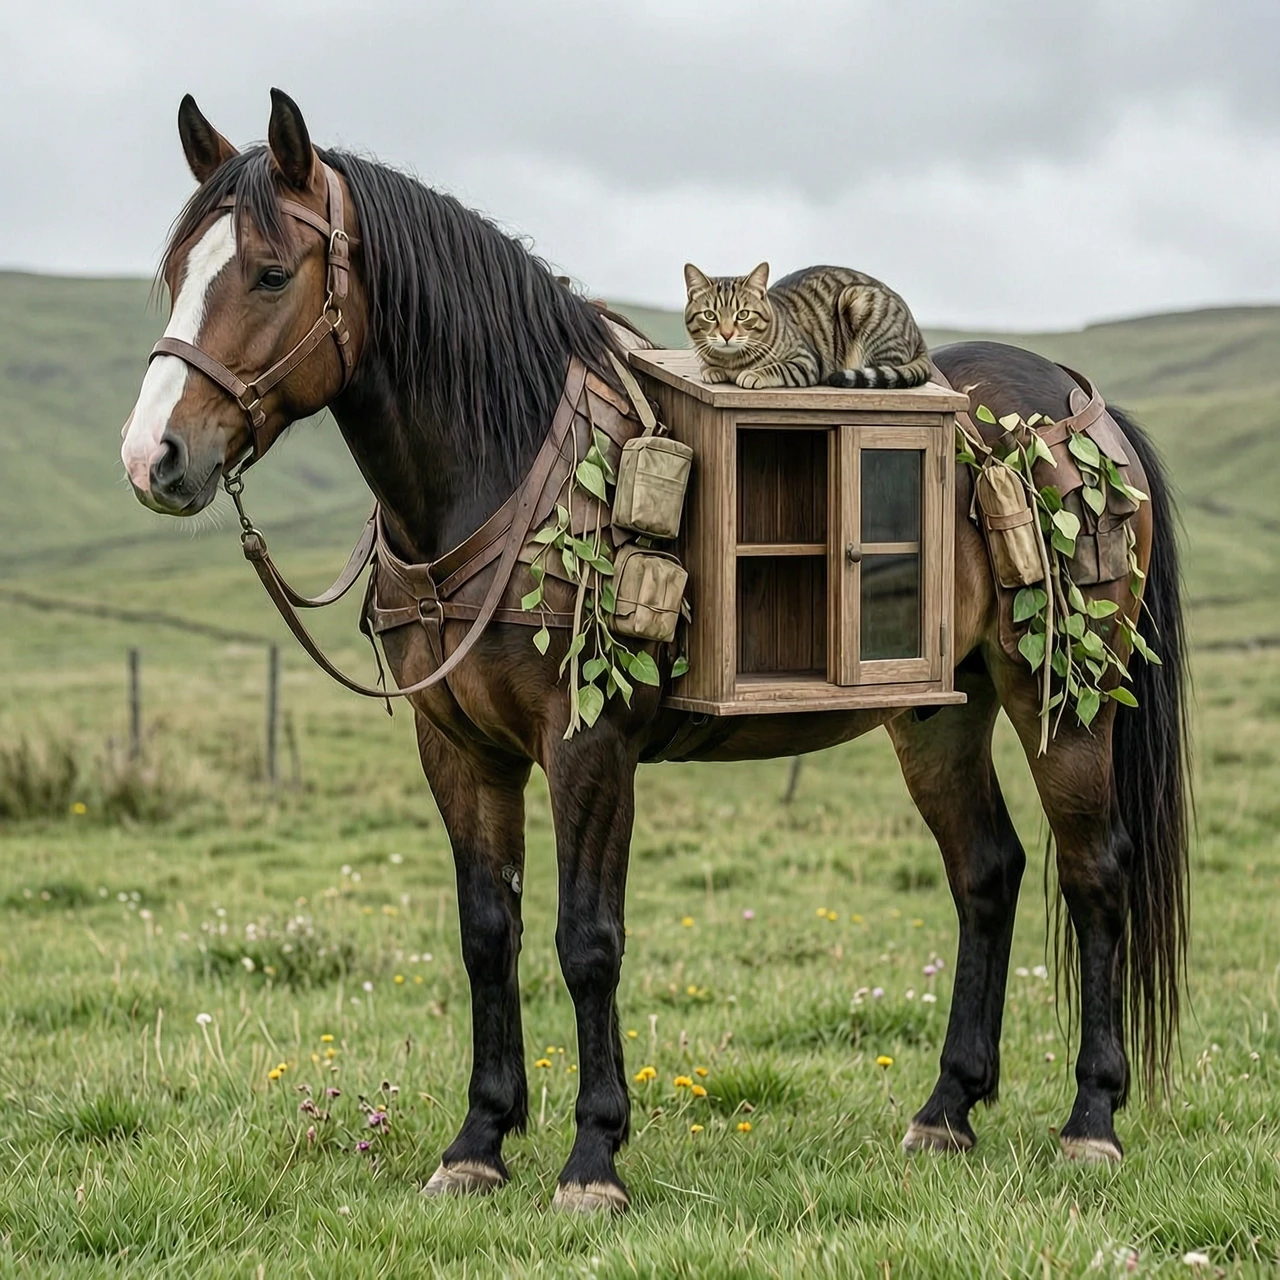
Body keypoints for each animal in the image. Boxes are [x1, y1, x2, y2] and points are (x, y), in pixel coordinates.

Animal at [119, 89, 1189, 1213]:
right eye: (176, 272)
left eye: (270, 272)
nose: (154, 458)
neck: (505, 468)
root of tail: (1083, 404)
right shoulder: (458, 750)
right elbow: (486, 935)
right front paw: (477, 1141)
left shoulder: (589, 747)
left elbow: (587, 941)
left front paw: (593, 1154)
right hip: (938, 712)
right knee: (986, 871)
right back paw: (946, 1108)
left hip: (1064, 694)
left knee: (1094, 872)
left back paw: (1091, 1117)